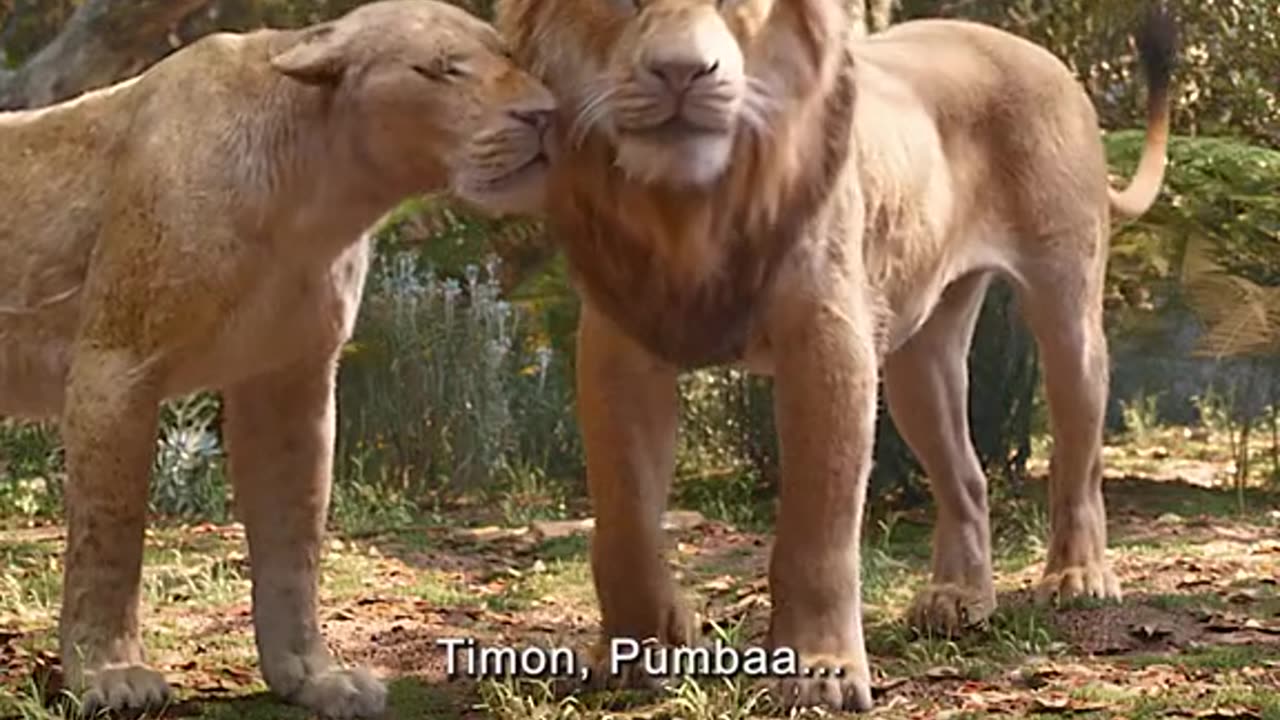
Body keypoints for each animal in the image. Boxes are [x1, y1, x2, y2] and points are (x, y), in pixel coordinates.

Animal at [1, 2, 555, 712]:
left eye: (508, 57)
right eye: (439, 68)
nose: (545, 115)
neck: (322, 198)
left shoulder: (291, 377)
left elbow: (295, 539)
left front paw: (312, 676)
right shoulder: (115, 365)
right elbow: (111, 532)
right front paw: (110, 675)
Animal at [496, 0, 1172, 707]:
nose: (682, 72)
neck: (692, 207)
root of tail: (1038, 56)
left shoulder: (827, 340)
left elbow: (815, 531)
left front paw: (819, 671)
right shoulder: (617, 347)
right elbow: (624, 521)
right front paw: (640, 651)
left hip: (1066, 313)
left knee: (1078, 460)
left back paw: (1077, 577)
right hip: (919, 363)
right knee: (967, 476)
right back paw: (956, 598)